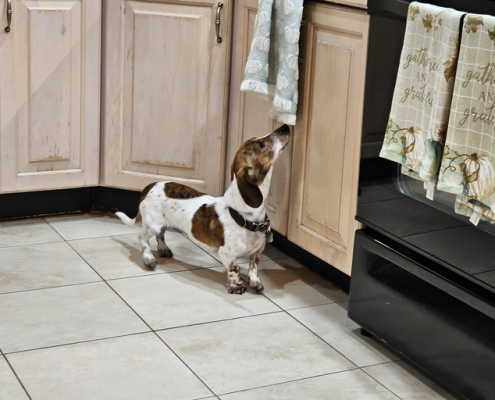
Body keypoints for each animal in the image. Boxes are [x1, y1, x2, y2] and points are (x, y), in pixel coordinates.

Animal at [116, 125, 290, 294]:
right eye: (261, 144)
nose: (286, 126)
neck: (244, 218)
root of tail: (151, 185)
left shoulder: (257, 252)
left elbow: (253, 267)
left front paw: (255, 282)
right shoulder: (226, 254)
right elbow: (235, 269)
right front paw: (236, 285)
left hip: (162, 224)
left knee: (160, 235)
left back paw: (164, 249)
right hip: (153, 224)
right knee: (142, 237)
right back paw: (148, 258)